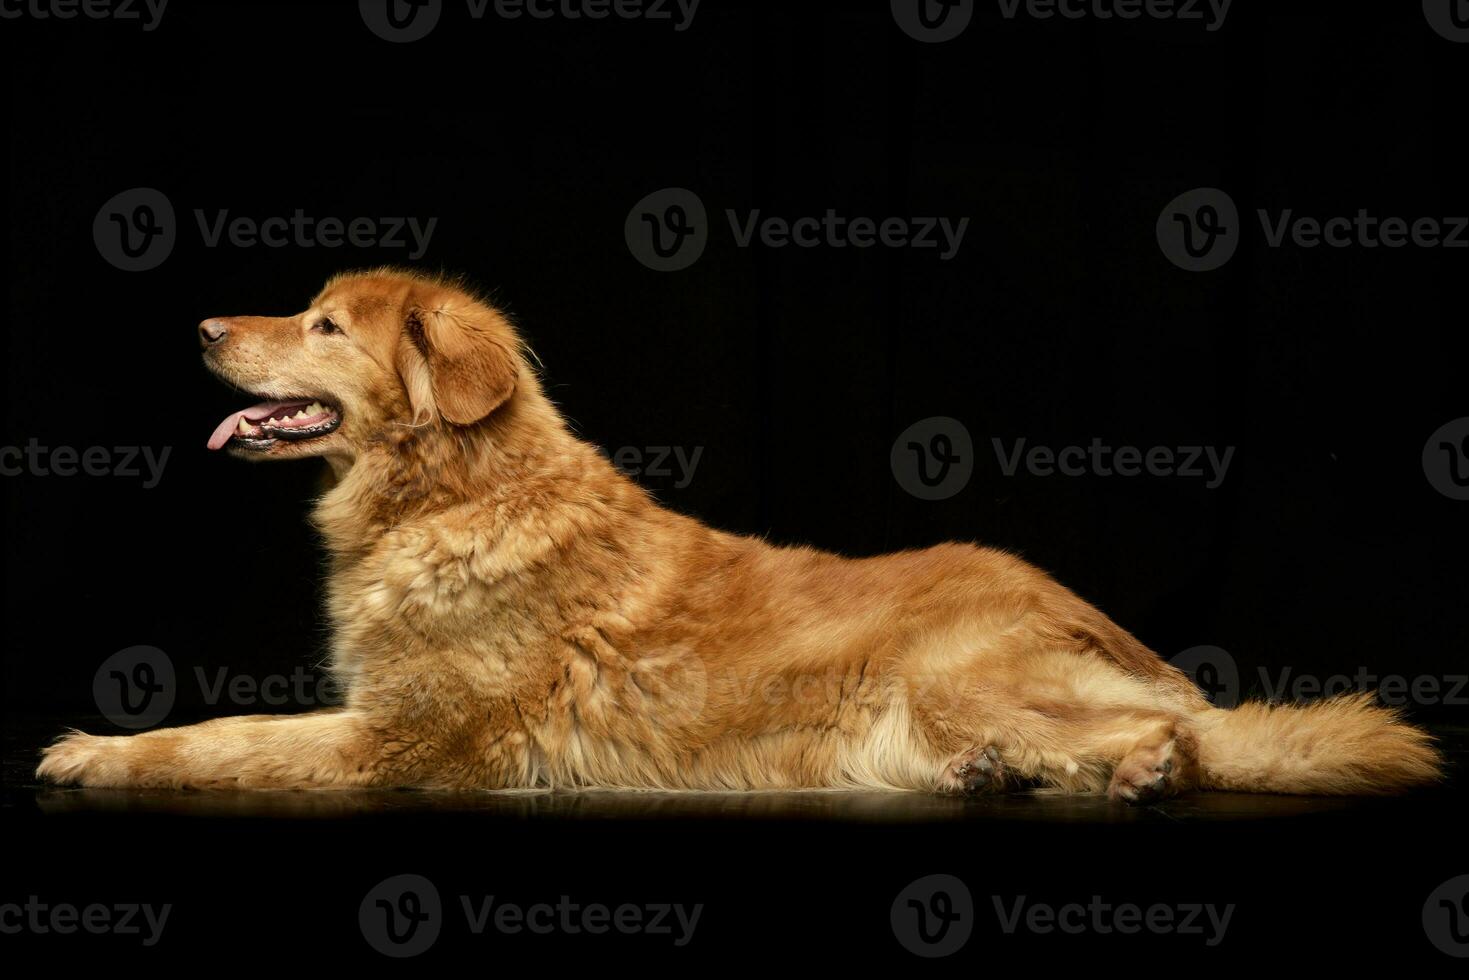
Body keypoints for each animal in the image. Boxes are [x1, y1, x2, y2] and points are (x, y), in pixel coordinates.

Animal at [37, 265, 1445, 799]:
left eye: (326, 326)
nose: (202, 327)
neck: (455, 493)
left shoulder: (406, 740)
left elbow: (219, 735)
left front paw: (95, 749)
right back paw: (997, 775)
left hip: (948, 672)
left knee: (1187, 738)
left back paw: (1137, 765)